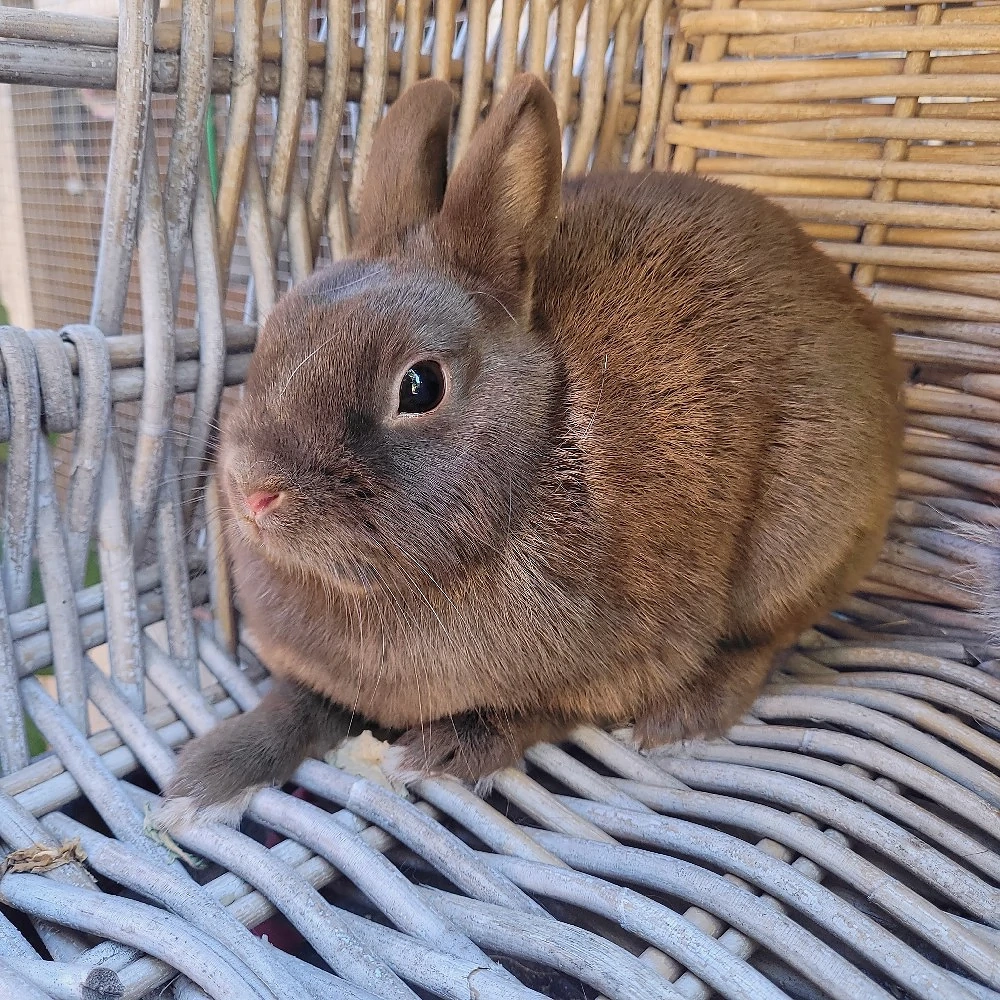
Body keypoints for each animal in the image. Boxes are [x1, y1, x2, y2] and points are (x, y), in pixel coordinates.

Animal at [158, 73, 903, 828]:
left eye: (420, 385)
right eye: (273, 336)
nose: (253, 492)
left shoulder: (614, 665)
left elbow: (533, 712)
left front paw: (441, 753)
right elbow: (297, 705)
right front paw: (202, 781)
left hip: (795, 545)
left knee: (766, 640)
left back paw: (684, 718)